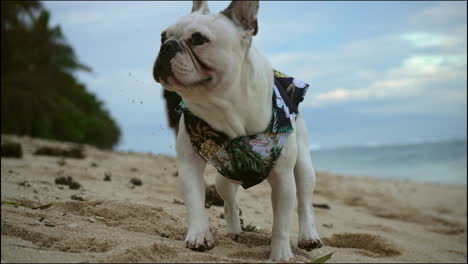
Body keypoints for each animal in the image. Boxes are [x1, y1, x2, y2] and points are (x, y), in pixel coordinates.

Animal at [154, 0, 322, 260]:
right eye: (162, 37)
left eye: (198, 39)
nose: (167, 46)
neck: (222, 105)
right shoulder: (189, 165)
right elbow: (195, 202)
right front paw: (199, 235)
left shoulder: (283, 179)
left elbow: (281, 222)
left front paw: (280, 254)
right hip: (224, 179)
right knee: (230, 203)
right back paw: (234, 231)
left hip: (303, 166)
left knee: (305, 201)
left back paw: (308, 236)